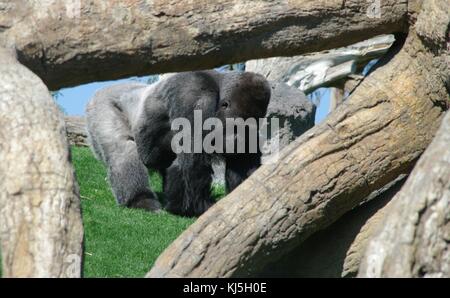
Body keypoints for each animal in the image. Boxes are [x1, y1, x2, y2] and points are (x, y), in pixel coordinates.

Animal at [87, 71, 270, 218]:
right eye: (239, 124)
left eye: (253, 123)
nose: (241, 137)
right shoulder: (196, 98)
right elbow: (190, 161)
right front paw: (197, 209)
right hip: (102, 105)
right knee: (123, 150)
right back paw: (140, 200)